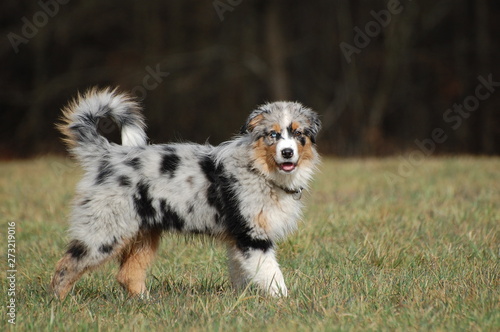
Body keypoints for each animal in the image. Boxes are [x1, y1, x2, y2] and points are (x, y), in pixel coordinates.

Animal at [50, 87, 322, 298]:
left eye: (299, 134)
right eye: (273, 135)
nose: (287, 153)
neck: (260, 170)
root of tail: (107, 155)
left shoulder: (238, 239)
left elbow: (242, 273)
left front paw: (243, 300)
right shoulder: (252, 236)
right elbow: (272, 273)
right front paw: (285, 302)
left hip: (143, 233)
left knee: (128, 275)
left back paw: (147, 304)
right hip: (104, 232)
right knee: (65, 267)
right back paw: (60, 304)